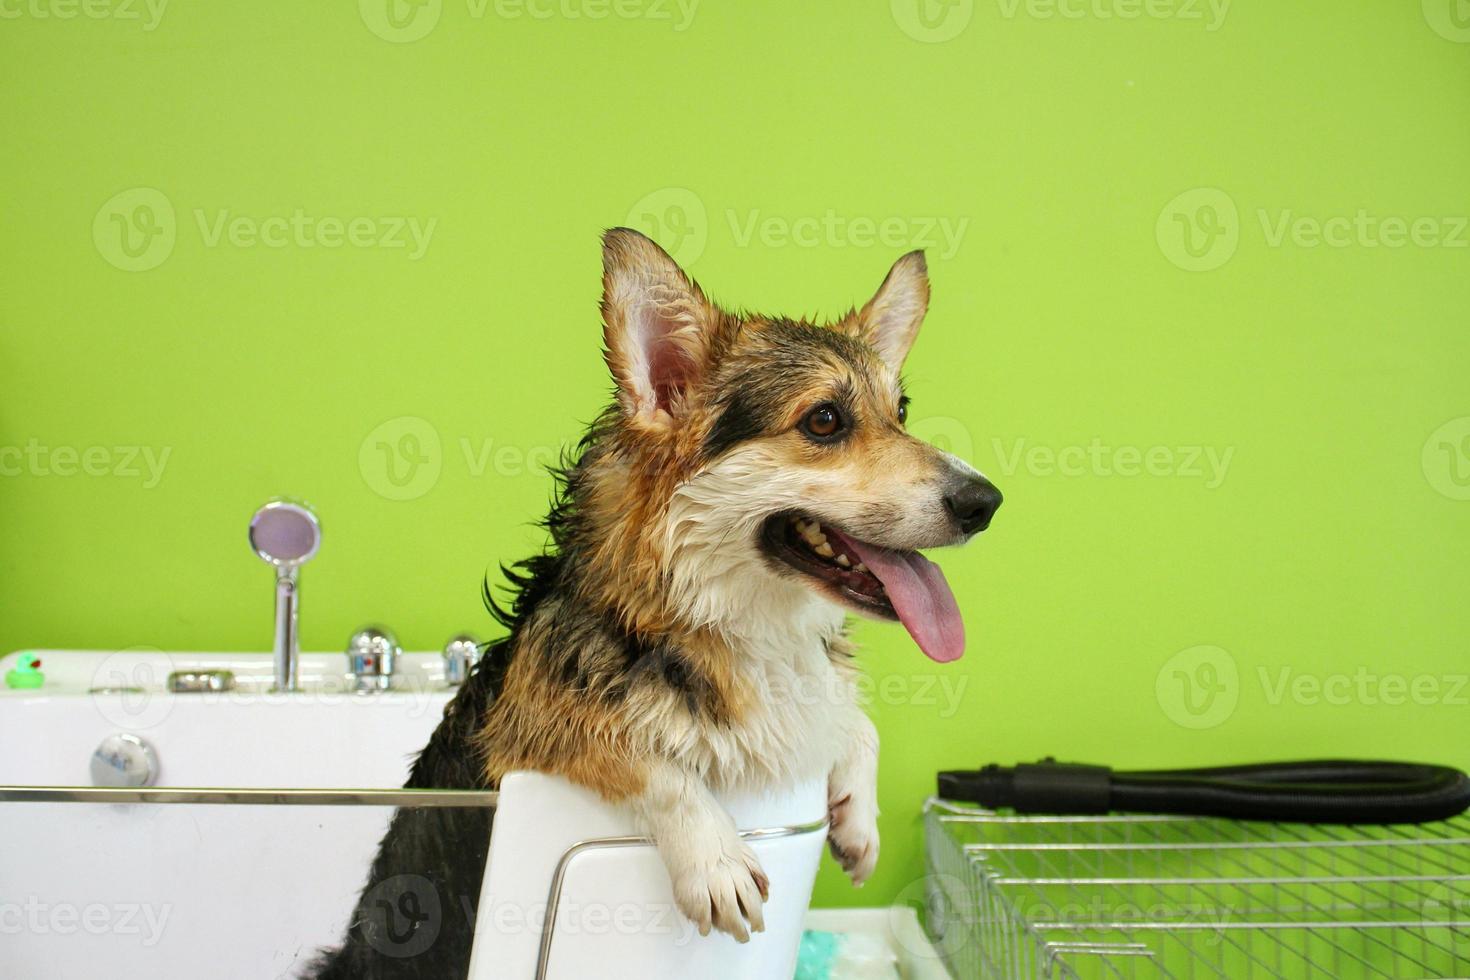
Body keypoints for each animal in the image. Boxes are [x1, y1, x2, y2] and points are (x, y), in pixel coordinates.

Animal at [310, 232, 999, 980]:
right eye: (824, 420)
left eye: (900, 414)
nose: (986, 502)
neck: (723, 617)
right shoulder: (527, 728)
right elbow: (644, 753)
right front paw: (717, 857)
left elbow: (853, 721)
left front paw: (857, 813)